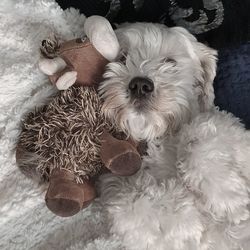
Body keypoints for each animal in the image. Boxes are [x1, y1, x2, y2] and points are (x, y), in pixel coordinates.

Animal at [98, 22, 250, 249]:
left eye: (170, 62)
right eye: (123, 57)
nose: (140, 85)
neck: (159, 138)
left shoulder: (234, 135)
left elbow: (200, 135)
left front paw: (229, 199)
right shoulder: (119, 195)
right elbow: (135, 205)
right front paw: (183, 205)